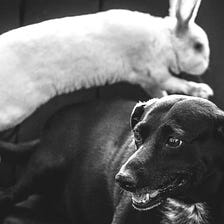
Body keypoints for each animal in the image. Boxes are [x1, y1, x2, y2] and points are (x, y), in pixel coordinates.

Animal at [0, 0, 213, 131]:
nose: (204, 66)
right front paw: (203, 90)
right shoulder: (156, 69)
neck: (166, 39)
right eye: (198, 46)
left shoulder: (146, 79)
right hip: (15, 110)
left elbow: (160, 93)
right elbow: (177, 83)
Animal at [0, 95, 224, 223]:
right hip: (45, 167)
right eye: (137, 134)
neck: (189, 205)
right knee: (10, 193)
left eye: (174, 140)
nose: (122, 180)